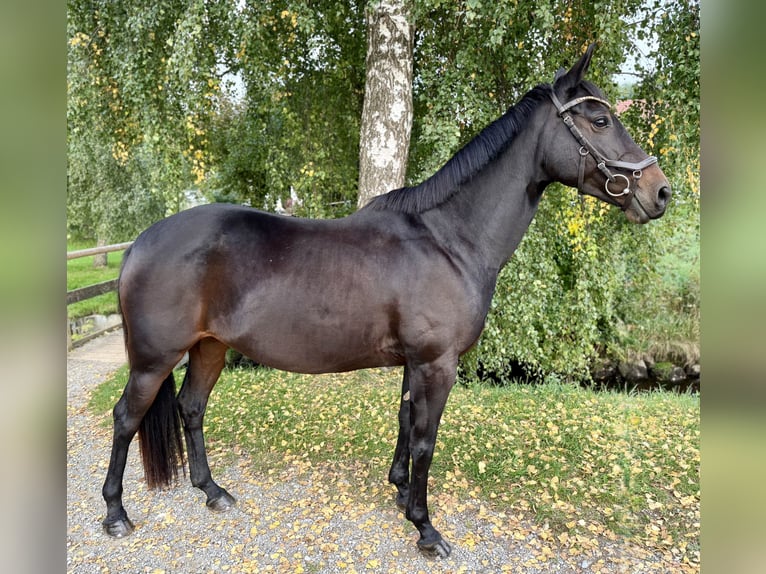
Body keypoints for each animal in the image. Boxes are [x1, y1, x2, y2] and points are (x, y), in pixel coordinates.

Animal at [101, 44, 670, 558]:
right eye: (599, 119)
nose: (661, 192)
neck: (448, 240)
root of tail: (140, 243)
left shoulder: (415, 363)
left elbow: (403, 423)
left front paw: (399, 491)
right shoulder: (437, 364)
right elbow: (425, 439)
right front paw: (425, 527)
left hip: (210, 347)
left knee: (192, 408)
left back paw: (213, 492)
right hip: (153, 360)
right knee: (126, 418)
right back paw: (115, 514)